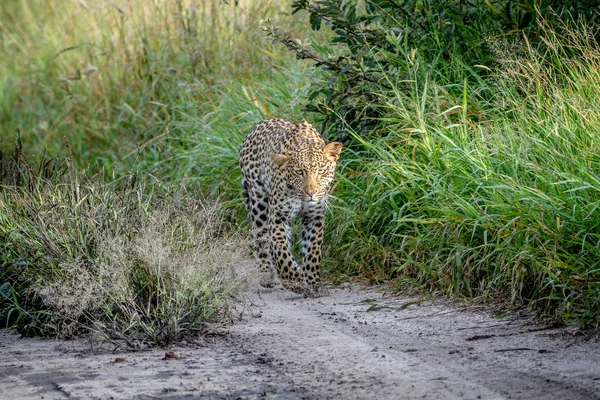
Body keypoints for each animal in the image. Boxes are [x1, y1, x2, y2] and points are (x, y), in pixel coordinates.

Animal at [239, 117, 342, 296]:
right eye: (299, 172)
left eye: (321, 171)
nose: (311, 192)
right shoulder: (278, 216)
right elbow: (281, 251)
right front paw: (294, 281)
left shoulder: (315, 217)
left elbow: (313, 251)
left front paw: (313, 283)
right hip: (258, 200)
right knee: (260, 236)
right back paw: (266, 274)